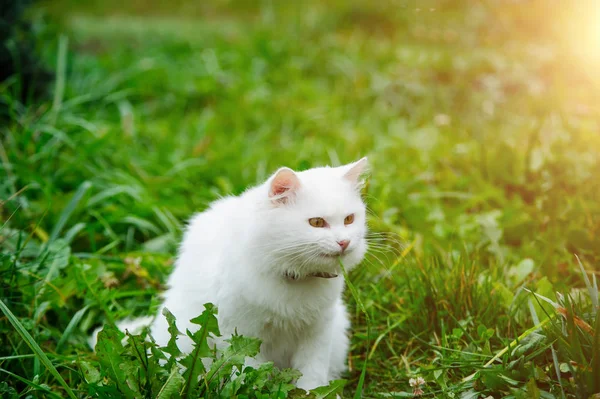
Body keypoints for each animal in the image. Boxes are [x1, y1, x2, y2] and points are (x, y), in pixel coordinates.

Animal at [93, 158, 368, 392]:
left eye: (349, 219)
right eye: (317, 223)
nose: (344, 242)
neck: (294, 276)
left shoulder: (317, 331)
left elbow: (312, 375)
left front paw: (314, 393)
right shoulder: (242, 333)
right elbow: (250, 373)